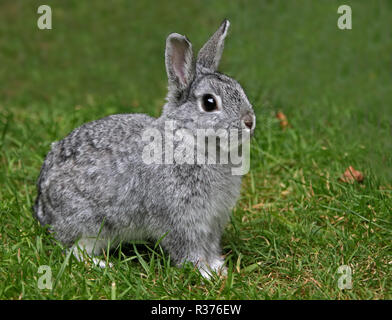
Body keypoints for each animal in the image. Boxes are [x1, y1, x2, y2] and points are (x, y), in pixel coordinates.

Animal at [33, 20, 254, 278]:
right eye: (209, 103)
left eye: (238, 88)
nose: (250, 121)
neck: (189, 138)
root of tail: (43, 207)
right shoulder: (180, 219)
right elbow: (188, 249)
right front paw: (204, 272)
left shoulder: (212, 221)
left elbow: (209, 245)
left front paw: (218, 267)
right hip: (89, 223)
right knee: (76, 251)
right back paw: (104, 265)